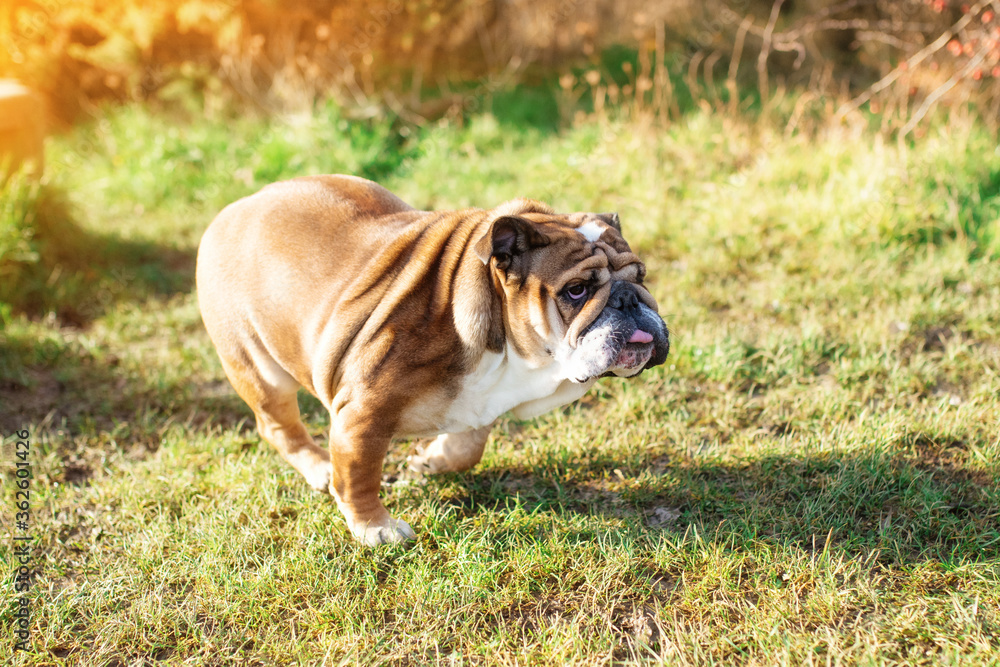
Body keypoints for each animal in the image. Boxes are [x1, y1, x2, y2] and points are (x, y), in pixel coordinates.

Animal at [195, 175, 668, 544]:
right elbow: (359, 473)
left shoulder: (482, 401)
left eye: (642, 276)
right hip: (258, 368)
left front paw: (432, 461)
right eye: (576, 290)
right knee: (278, 426)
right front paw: (375, 527)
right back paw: (318, 468)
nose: (629, 299)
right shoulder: (362, 413)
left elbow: (469, 446)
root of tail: (235, 208)